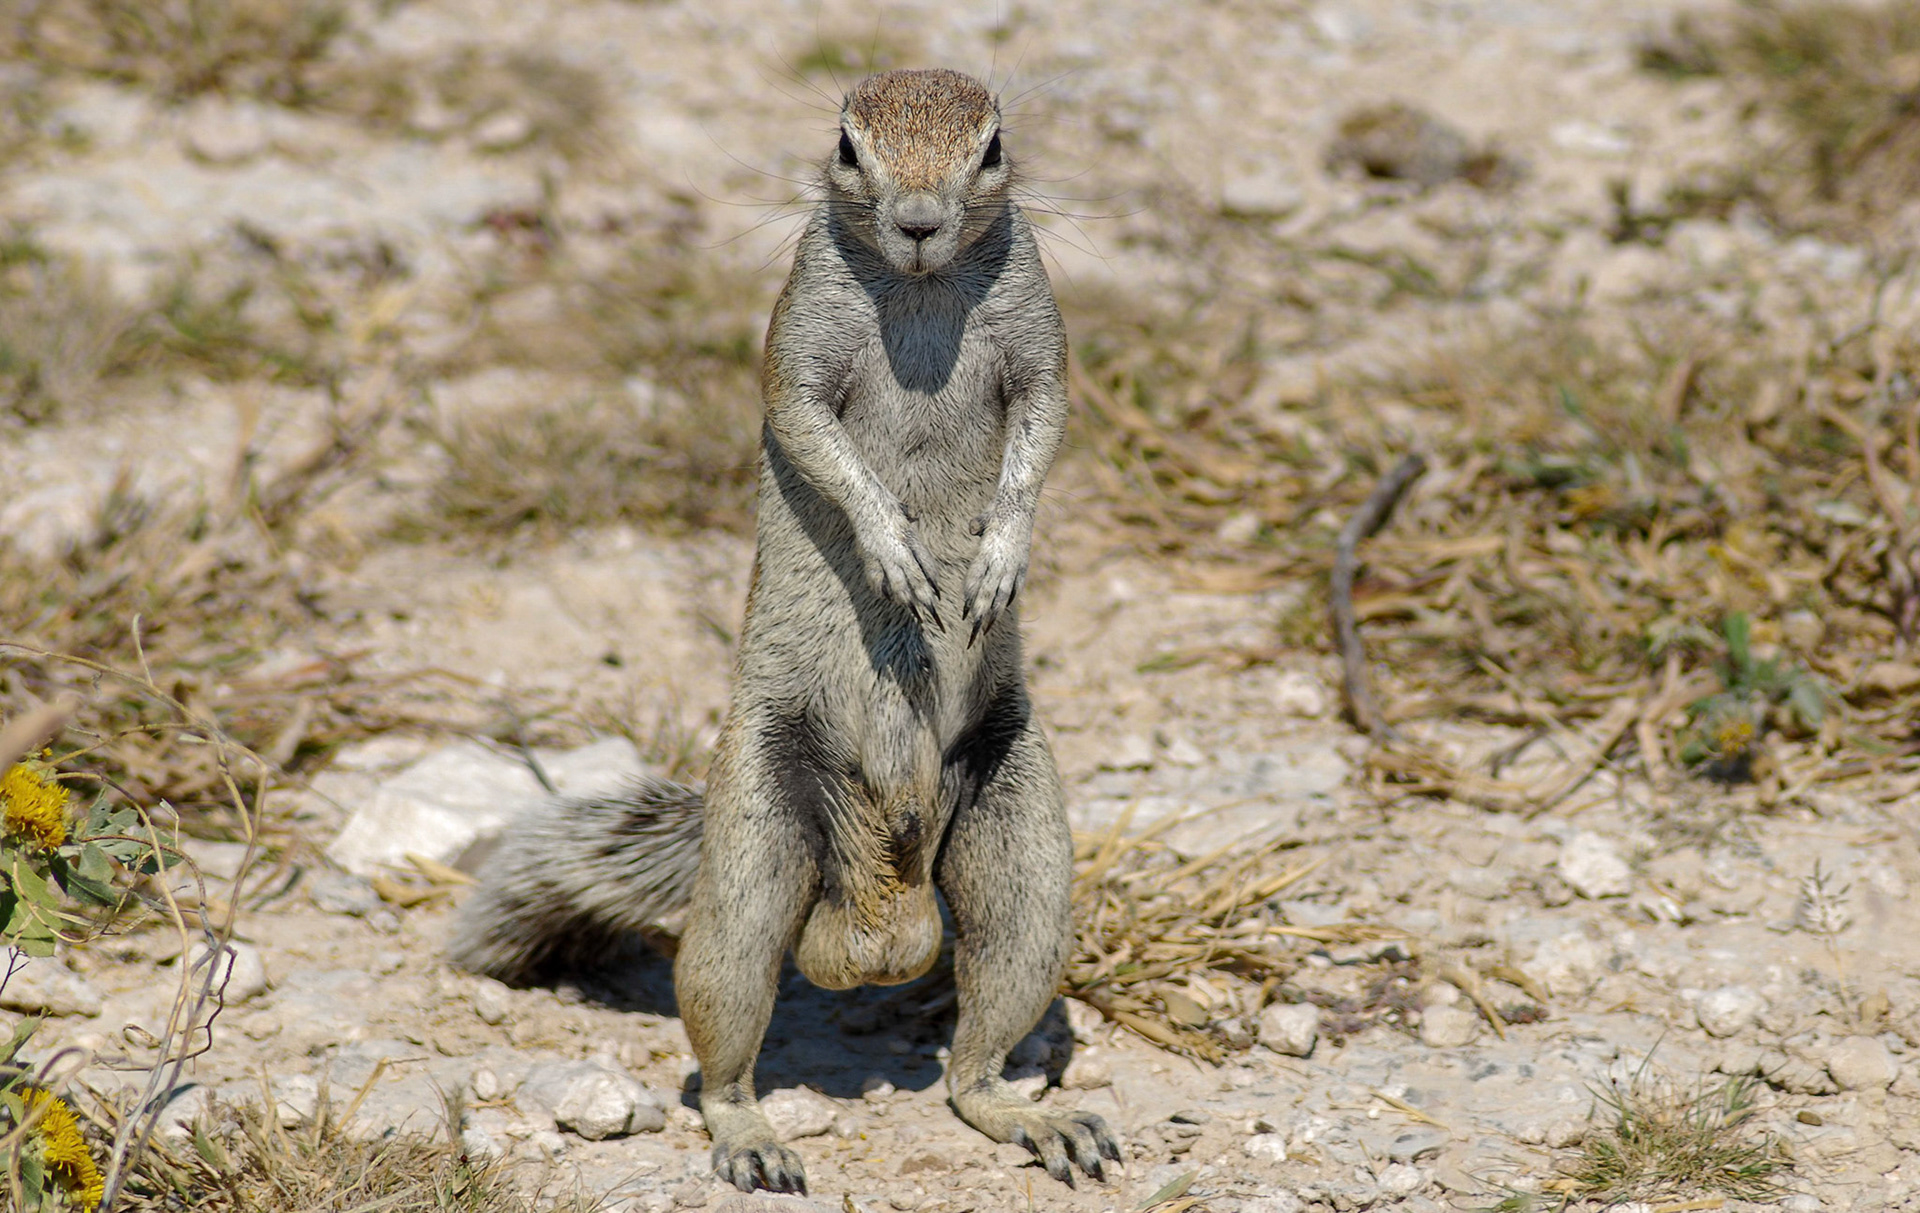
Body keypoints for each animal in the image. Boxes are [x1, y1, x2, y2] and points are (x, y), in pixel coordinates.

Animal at [449, 68, 1119, 1194]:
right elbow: (815, 434)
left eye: (991, 147)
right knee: (721, 1038)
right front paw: (894, 553)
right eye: (848, 146)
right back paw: (750, 1136)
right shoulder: (799, 344)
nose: (920, 221)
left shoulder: (1040, 343)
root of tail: (877, 929)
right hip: (754, 853)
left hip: (1024, 850)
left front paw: (998, 556)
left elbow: (1045, 430)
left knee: (975, 1052)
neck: (919, 293)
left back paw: (1033, 1116)